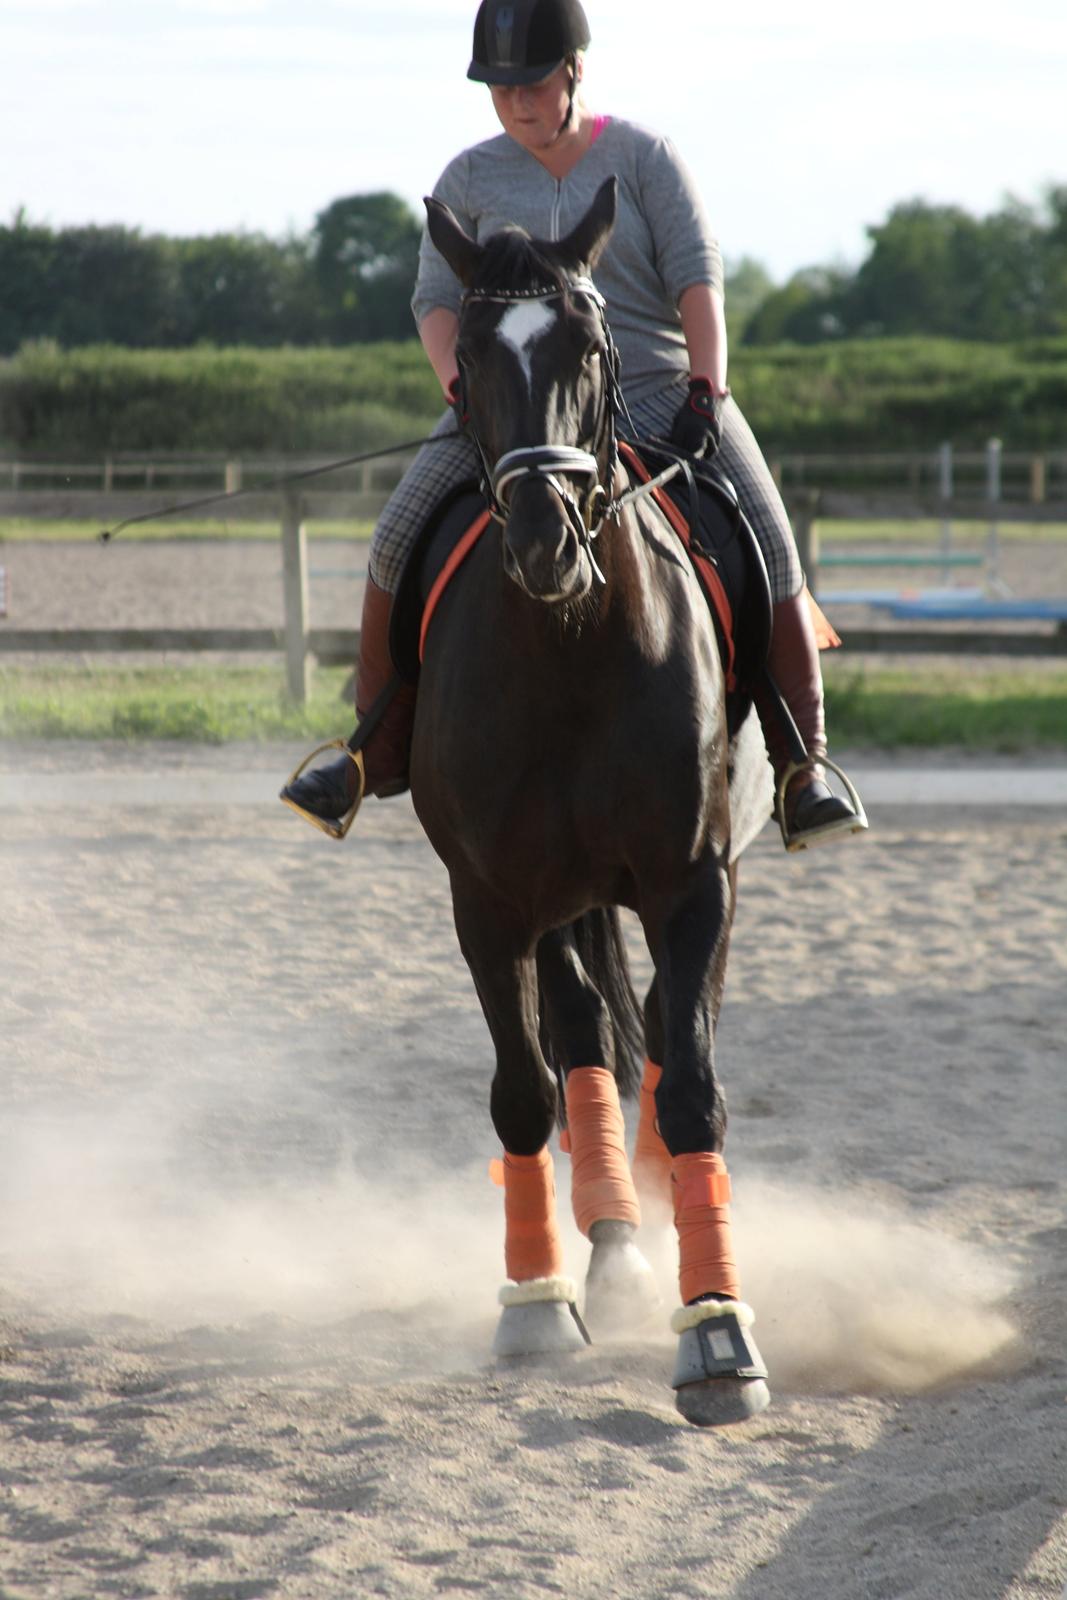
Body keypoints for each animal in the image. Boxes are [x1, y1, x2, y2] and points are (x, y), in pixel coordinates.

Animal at [412, 178, 771, 1427]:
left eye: (589, 345)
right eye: (470, 357)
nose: (542, 539)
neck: (568, 643)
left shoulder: (691, 878)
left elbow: (695, 1083)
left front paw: (716, 1331)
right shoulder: (487, 901)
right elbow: (526, 1092)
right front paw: (533, 1303)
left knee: (658, 1030)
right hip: (556, 897)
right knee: (583, 1041)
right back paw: (611, 1246)